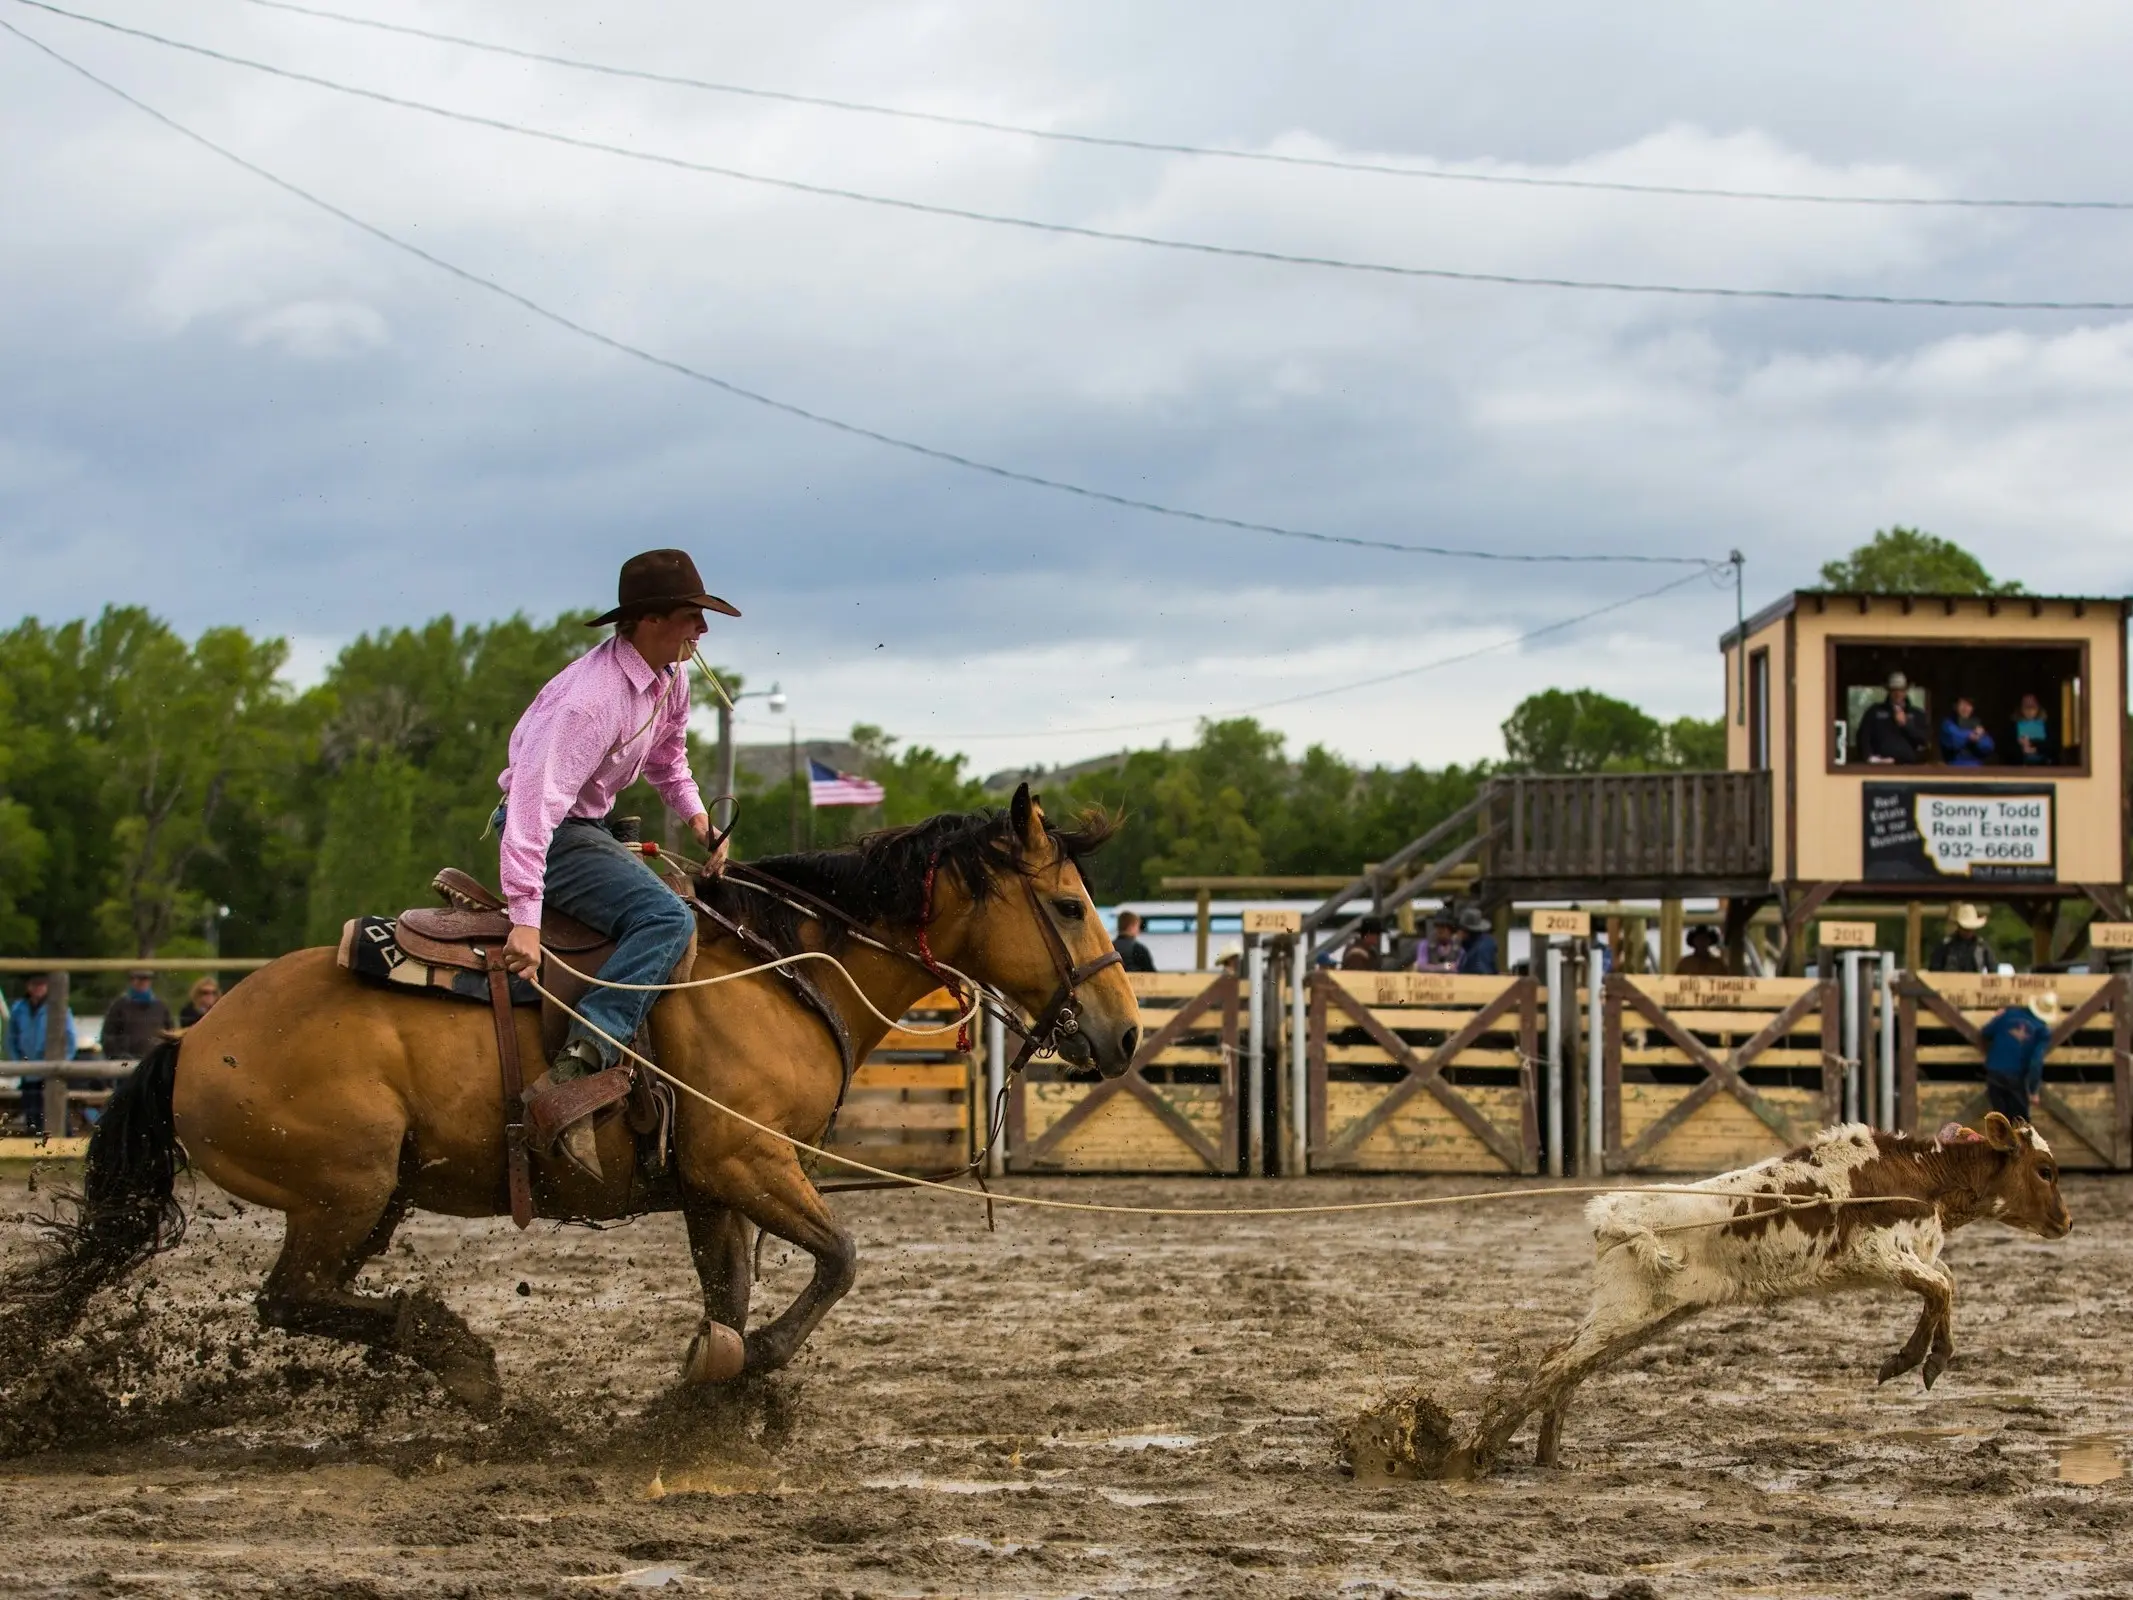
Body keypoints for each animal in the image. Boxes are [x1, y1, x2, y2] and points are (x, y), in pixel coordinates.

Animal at [9, 785, 1140, 1414]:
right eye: (1068, 904)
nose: (1126, 1034)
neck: (776, 968)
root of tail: (195, 1036)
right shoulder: (745, 1160)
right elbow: (841, 1258)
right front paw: (753, 1365)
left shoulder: (711, 1187)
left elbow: (729, 1291)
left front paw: (706, 1384)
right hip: (343, 1187)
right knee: (288, 1298)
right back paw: (460, 1358)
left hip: (371, 1200)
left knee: (304, 1298)